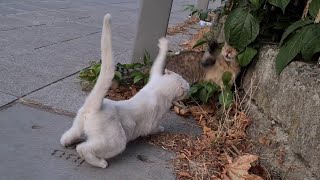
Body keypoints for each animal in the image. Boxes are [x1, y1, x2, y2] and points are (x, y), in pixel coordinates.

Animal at [59, 14, 190, 169]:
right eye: (186, 89)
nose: (189, 88)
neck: (158, 89)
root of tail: (97, 106)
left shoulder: (155, 75)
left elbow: (158, 62)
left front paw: (163, 44)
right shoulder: (152, 123)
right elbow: (155, 128)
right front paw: (162, 129)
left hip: (77, 126)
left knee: (67, 136)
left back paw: (67, 142)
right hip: (116, 141)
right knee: (83, 148)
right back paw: (100, 163)